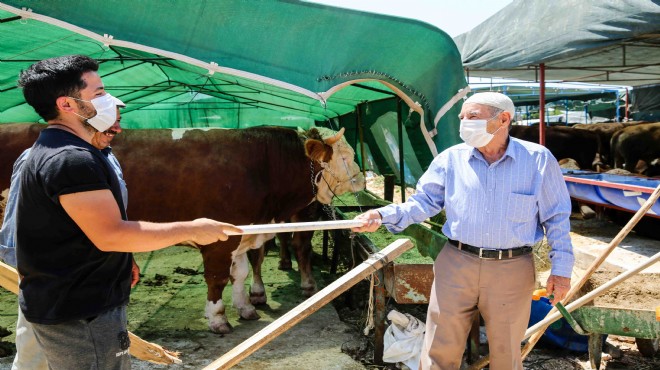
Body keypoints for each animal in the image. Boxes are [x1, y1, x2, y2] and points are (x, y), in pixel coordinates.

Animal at [0, 123, 364, 332]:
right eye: (345, 157)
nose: (362, 179)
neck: (262, 166)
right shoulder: (220, 239)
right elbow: (217, 278)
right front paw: (218, 318)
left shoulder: (243, 234)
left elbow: (241, 273)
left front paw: (246, 308)